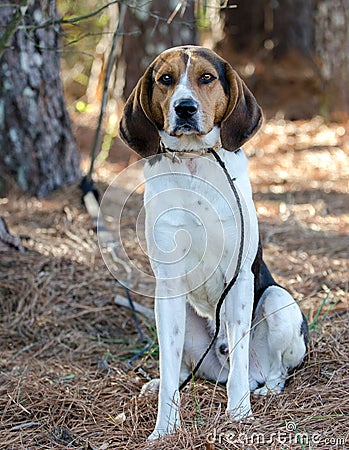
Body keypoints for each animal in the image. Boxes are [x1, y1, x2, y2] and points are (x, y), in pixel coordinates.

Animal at [119, 44, 308, 438]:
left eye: (206, 77)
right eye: (166, 79)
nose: (185, 108)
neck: (195, 162)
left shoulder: (239, 280)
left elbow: (239, 364)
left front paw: (239, 415)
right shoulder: (168, 286)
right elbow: (169, 365)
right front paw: (165, 430)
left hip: (278, 300)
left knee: (270, 372)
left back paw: (263, 391)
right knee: (178, 368)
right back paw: (158, 384)